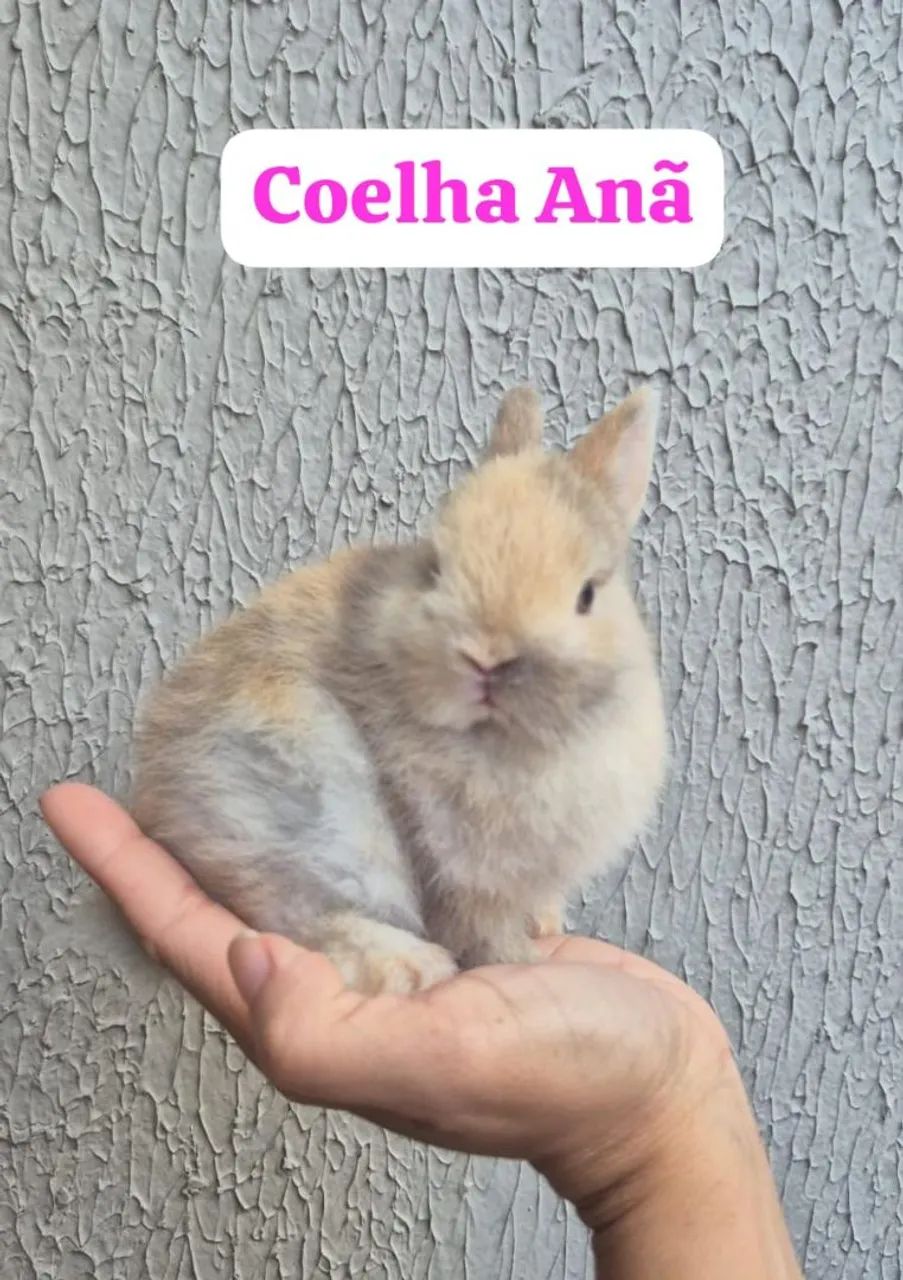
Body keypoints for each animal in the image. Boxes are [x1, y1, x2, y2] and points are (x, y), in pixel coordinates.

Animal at [131, 385, 666, 994]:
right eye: (435, 568)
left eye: (587, 595)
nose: (486, 657)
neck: (505, 741)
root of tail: (154, 803)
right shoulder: (453, 867)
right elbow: (478, 928)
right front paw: (520, 961)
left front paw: (544, 926)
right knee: (295, 913)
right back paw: (410, 965)